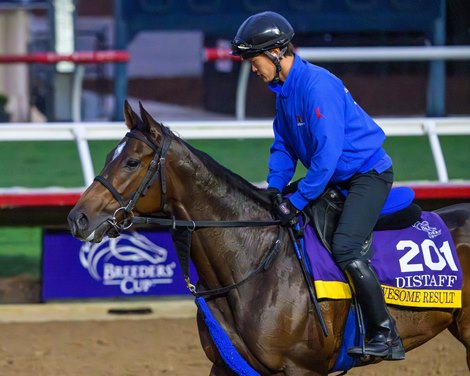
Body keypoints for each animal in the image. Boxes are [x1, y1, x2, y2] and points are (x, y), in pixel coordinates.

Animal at [68, 101, 470, 374]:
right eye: (109, 155)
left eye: (131, 162)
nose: (78, 218)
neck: (252, 263)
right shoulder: (226, 365)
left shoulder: (301, 369)